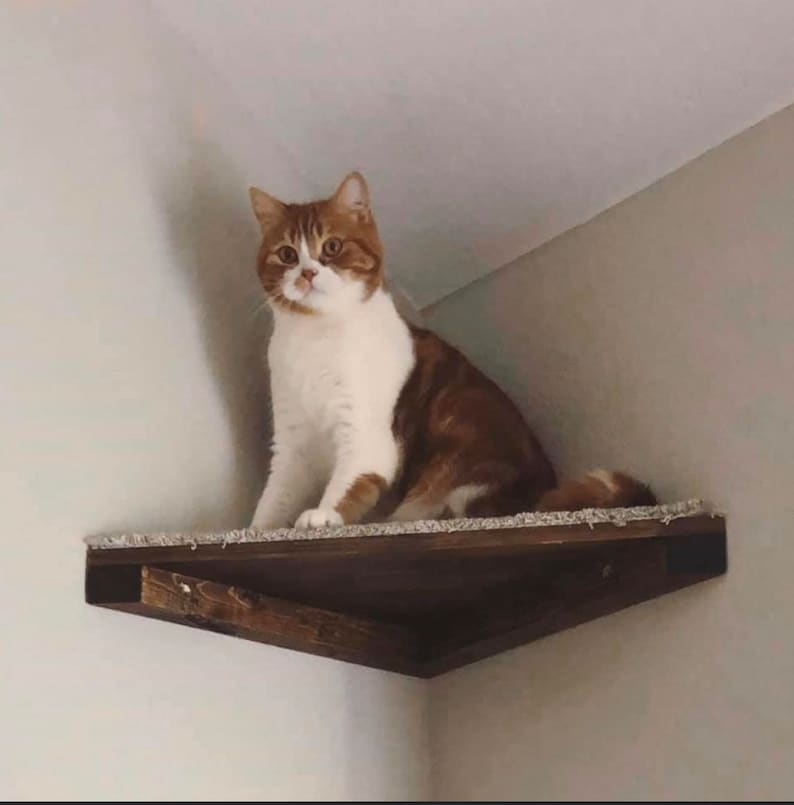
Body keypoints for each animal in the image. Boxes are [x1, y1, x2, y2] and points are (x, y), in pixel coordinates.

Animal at [246, 173, 648, 532]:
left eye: (331, 247)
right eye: (287, 254)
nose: (307, 273)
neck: (316, 337)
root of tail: (540, 494)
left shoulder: (366, 435)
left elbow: (346, 481)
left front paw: (322, 514)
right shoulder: (292, 441)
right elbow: (273, 497)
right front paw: (254, 530)